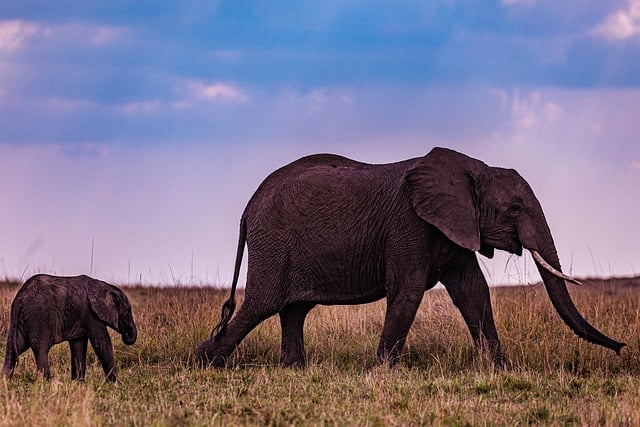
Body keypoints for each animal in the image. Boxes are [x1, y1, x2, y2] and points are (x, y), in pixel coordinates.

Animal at [1, 276, 137, 382]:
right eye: (127, 312)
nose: (125, 333)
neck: (105, 286)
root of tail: (20, 298)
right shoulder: (92, 313)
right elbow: (101, 344)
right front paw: (117, 384)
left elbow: (78, 345)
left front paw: (78, 384)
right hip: (39, 316)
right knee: (40, 348)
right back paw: (49, 383)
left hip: (21, 318)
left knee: (15, 346)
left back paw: (5, 381)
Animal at [199, 147, 624, 368]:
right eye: (515, 209)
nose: (621, 347)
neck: (473, 169)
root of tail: (248, 207)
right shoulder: (410, 226)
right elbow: (408, 291)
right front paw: (383, 372)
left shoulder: (453, 228)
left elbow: (473, 293)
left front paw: (500, 369)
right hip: (274, 243)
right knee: (262, 303)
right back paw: (207, 360)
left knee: (294, 309)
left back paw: (294, 369)